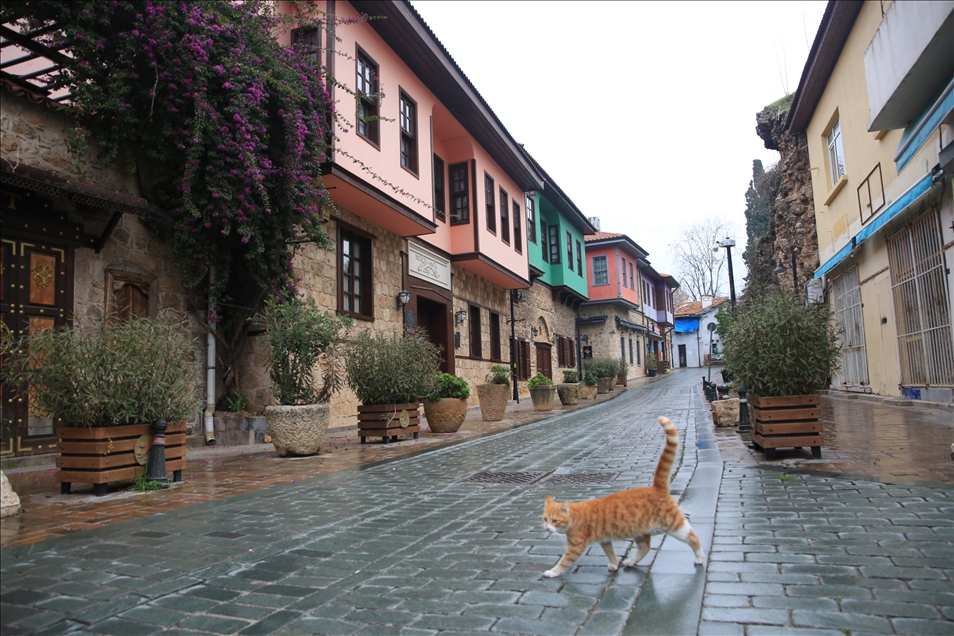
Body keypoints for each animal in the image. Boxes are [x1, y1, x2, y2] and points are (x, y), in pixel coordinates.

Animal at [540, 418, 704, 576]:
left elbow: (563, 562)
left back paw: (699, 557)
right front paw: (614, 564)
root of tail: (657, 487)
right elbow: (610, 553)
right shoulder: (605, 540)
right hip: (639, 531)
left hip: (674, 525)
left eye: (554, 520)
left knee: (693, 537)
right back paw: (630, 562)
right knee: (645, 547)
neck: (574, 516)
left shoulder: (576, 546)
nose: (546, 528)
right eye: (545, 519)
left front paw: (552, 572)